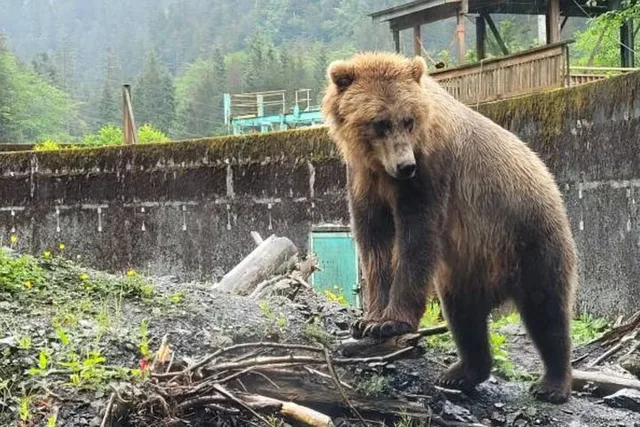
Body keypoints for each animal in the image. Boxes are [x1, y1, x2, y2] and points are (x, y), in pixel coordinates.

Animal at [320, 52, 578, 404]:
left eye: (408, 119)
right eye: (380, 122)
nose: (405, 165)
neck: (382, 169)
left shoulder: (430, 173)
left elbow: (416, 237)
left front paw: (390, 322)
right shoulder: (364, 180)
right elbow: (374, 244)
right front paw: (367, 320)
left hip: (529, 235)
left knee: (547, 310)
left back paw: (552, 384)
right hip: (468, 266)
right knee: (464, 317)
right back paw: (460, 373)